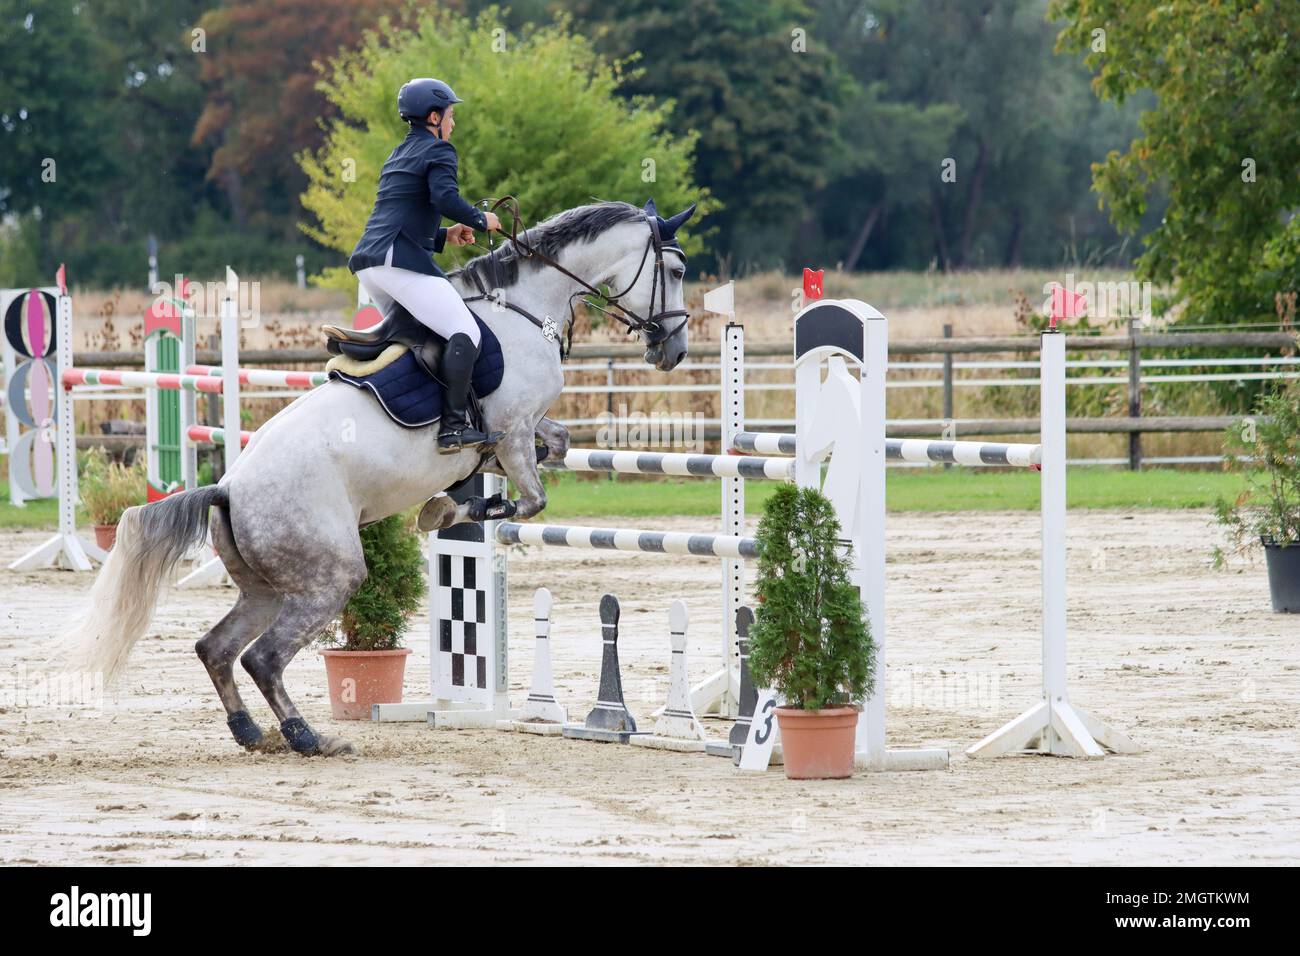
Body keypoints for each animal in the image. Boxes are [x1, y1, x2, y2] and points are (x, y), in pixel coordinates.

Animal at [63, 200, 691, 754]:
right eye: (677, 271)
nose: (675, 351)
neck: (526, 307)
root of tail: (228, 488)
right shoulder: (512, 432)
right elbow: (531, 500)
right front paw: (449, 509)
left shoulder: (515, 435)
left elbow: (553, 446)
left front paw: (454, 503)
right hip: (328, 577)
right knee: (263, 658)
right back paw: (308, 737)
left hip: (268, 588)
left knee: (215, 647)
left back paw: (251, 732)